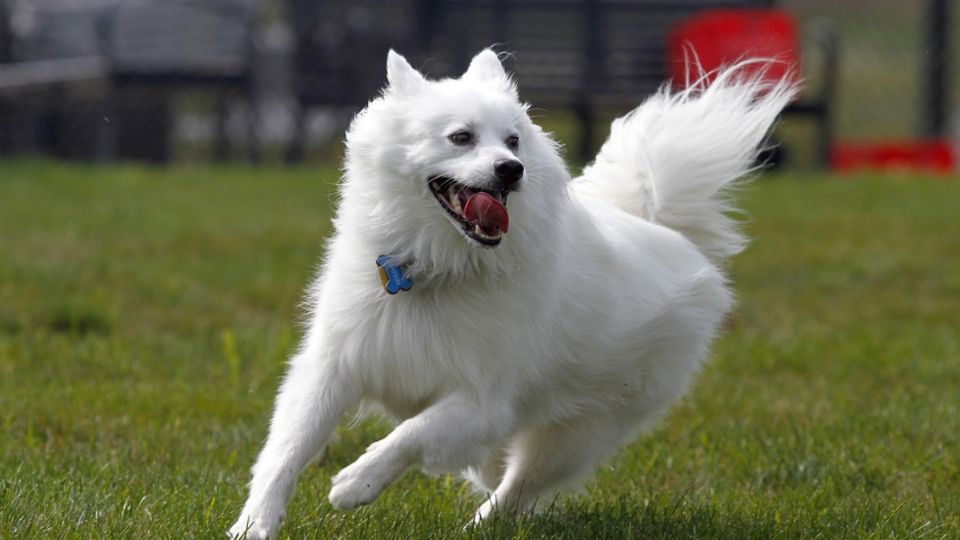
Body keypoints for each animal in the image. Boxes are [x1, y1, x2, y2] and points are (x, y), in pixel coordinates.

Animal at [231, 48, 796, 536]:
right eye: (461, 137)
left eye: (514, 141)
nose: (511, 169)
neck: (434, 267)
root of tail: (659, 227)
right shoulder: (333, 368)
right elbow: (285, 450)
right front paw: (253, 524)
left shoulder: (482, 402)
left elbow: (409, 436)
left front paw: (355, 483)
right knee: (494, 473)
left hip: (577, 432)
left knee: (515, 490)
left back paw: (475, 527)